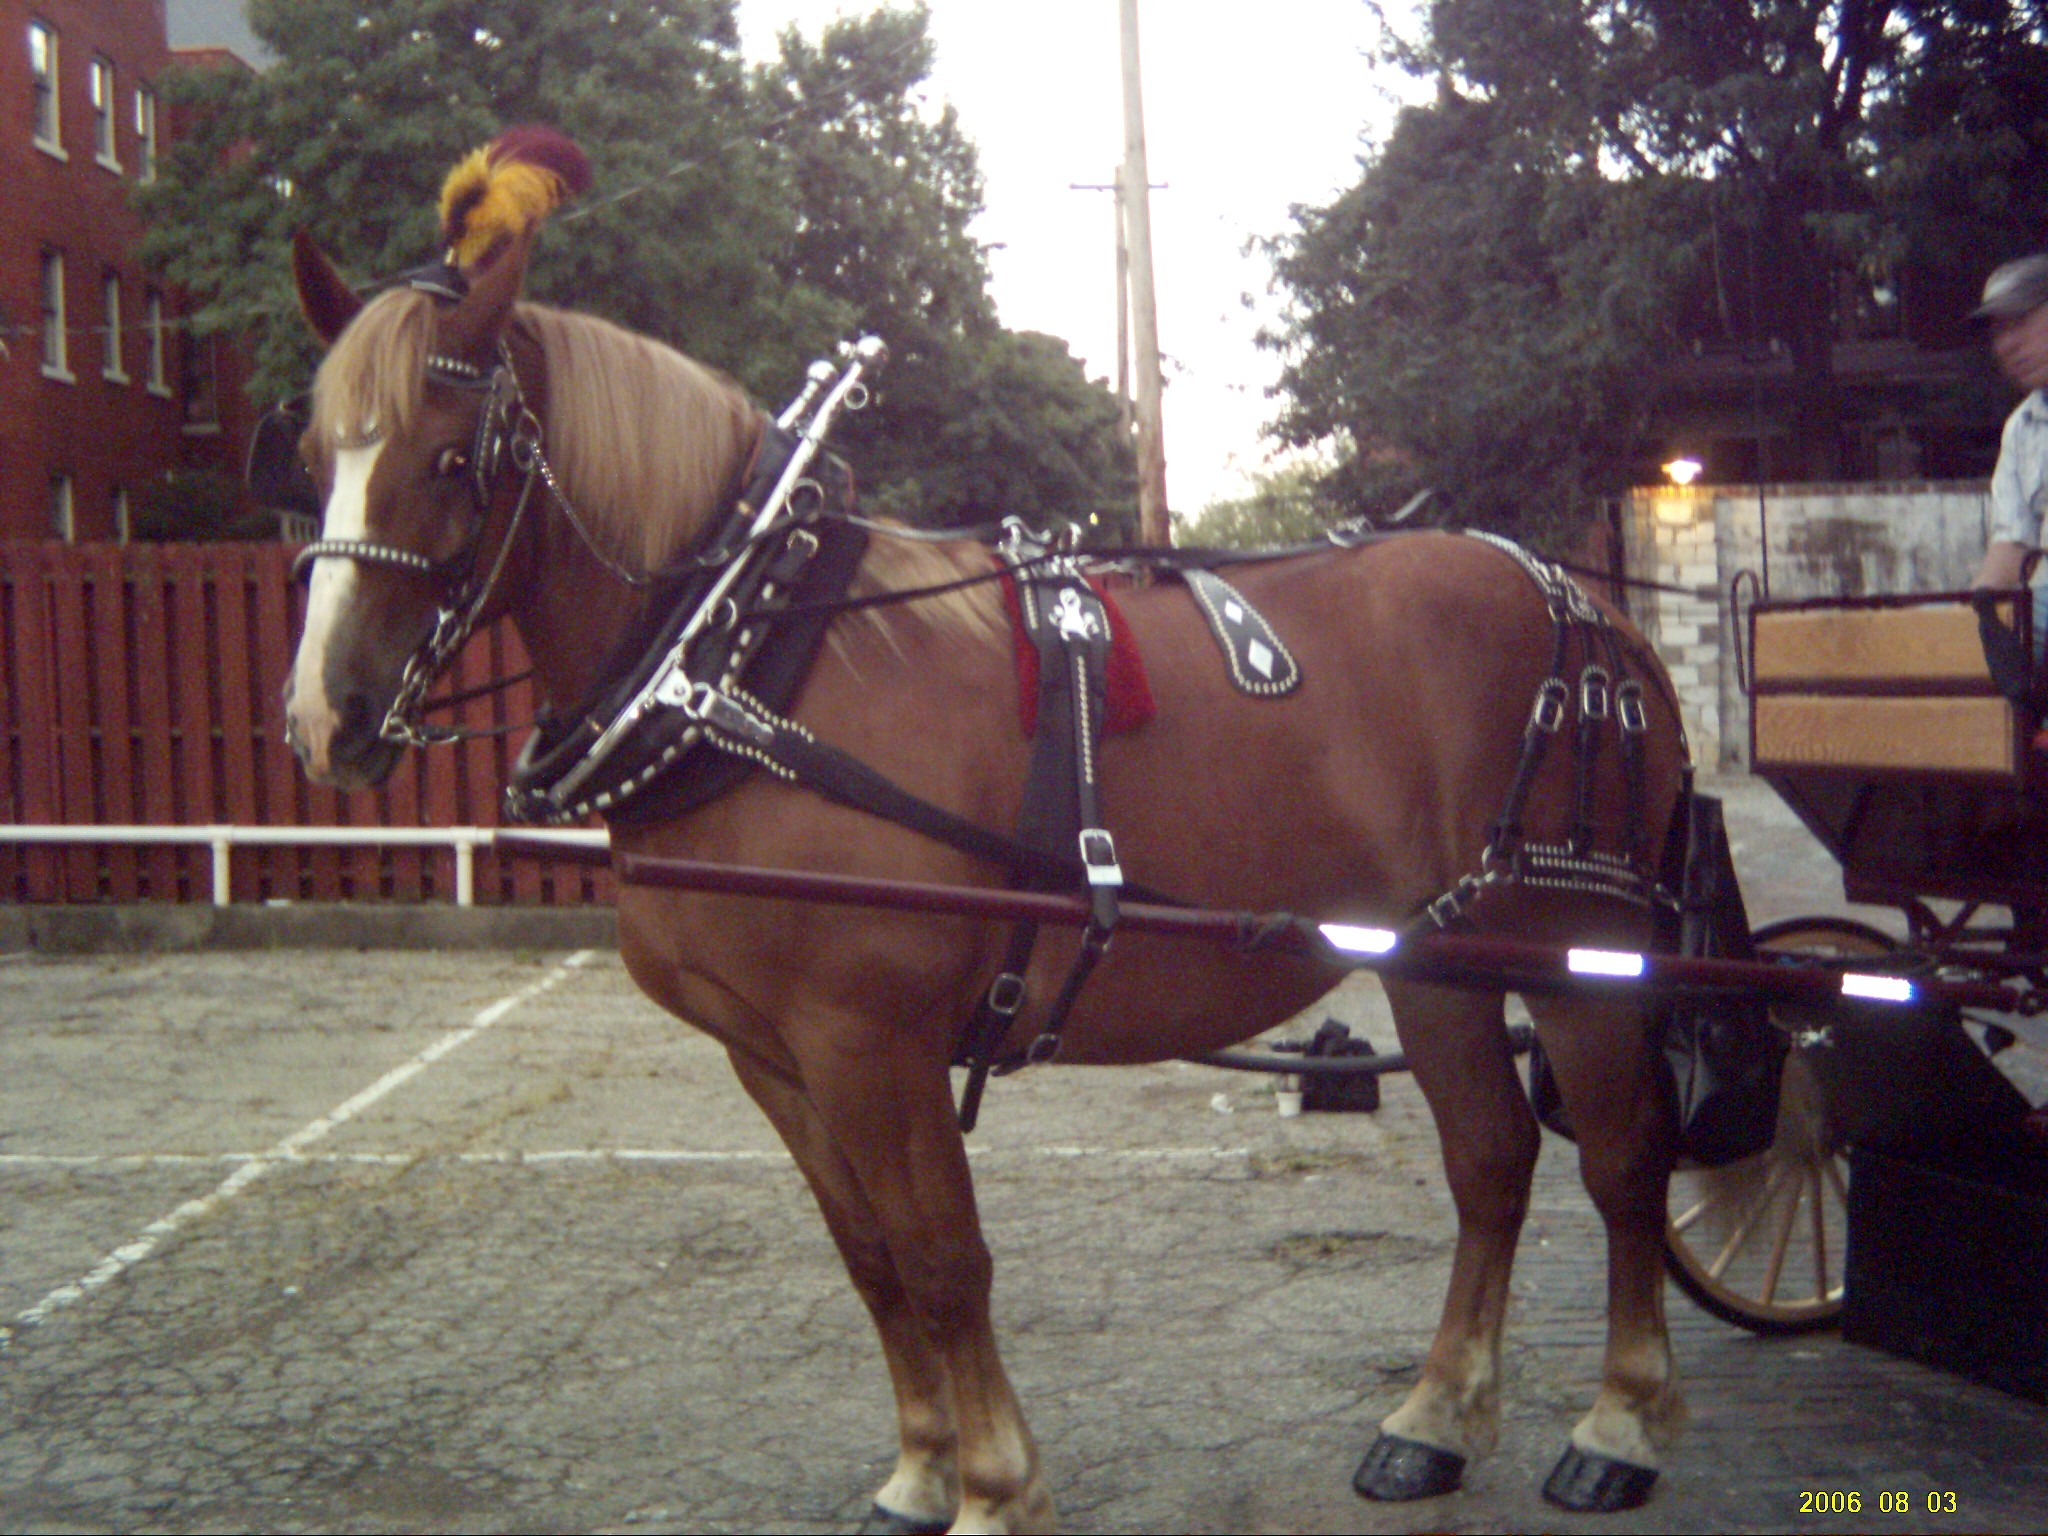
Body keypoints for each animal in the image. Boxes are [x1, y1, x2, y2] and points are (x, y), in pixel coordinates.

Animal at [280, 227, 1692, 1533]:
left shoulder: (871, 1039)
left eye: (451, 462)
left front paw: (996, 1487)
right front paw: (919, 1471)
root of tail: (1584, 602)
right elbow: (868, 1257)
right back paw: (1433, 1420)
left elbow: (941, 1257)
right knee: (1490, 1159)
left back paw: (1619, 1425)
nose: (325, 717)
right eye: (312, 459)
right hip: (1433, 961)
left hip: (1576, 947)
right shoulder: (771, 1055)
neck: (739, 663)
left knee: (1623, 1161)